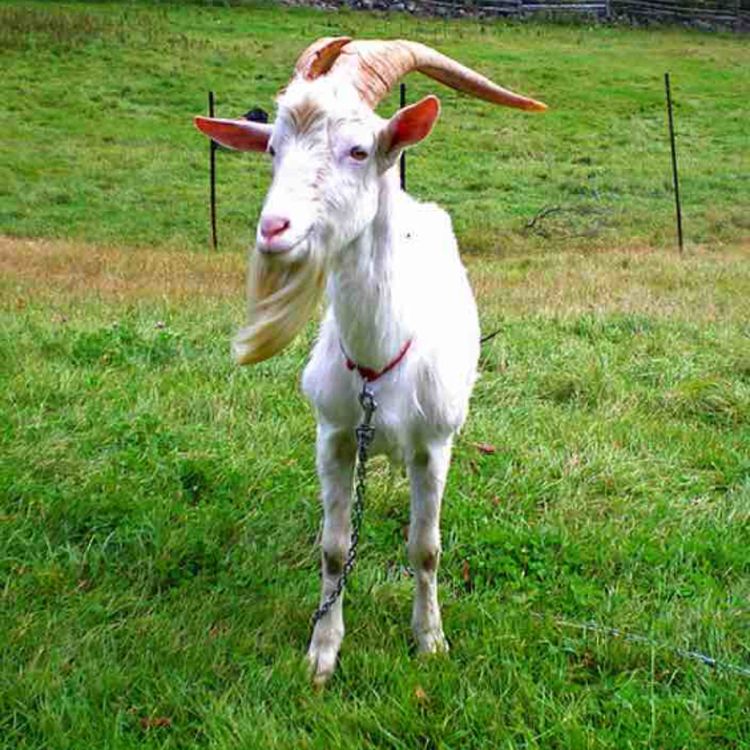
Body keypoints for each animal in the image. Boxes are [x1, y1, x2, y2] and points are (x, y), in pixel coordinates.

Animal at [195, 38, 546, 685]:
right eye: (273, 149)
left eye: (358, 150)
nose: (273, 229)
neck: (380, 362)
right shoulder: (333, 435)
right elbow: (334, 549)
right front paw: (323, 651)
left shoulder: (434, 445)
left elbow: (425, 548)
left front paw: (430, 640)